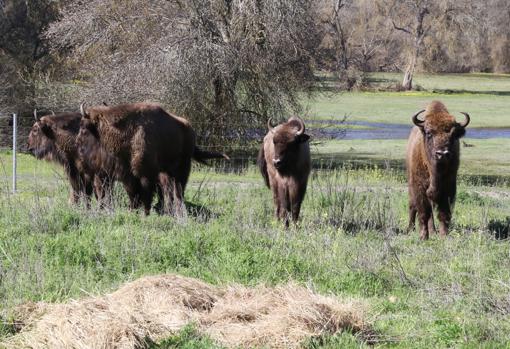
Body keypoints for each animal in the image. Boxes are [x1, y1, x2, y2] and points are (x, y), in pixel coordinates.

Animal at [78, 102, 229, 213]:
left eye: (84, 128)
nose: (78, 141)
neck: (130, 132)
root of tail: (189, 129)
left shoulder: (145, 174)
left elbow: (145, 194)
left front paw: (145, 213)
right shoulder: (129, 175)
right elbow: (134, 194)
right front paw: (133, 210)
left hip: (182, 169)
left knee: (178, 191)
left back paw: (176, 210)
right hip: (166, 171)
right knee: (169, 191)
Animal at [406, 99, 470, 238]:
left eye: (453, 134)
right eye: (429, 133)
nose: (442, 153)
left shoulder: (449, 187)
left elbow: (444, 213)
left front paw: (444, 235)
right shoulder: (419, 187)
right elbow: (423, 212)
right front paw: (423, 236)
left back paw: (433, 231)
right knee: (413, 206)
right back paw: (410, 229)